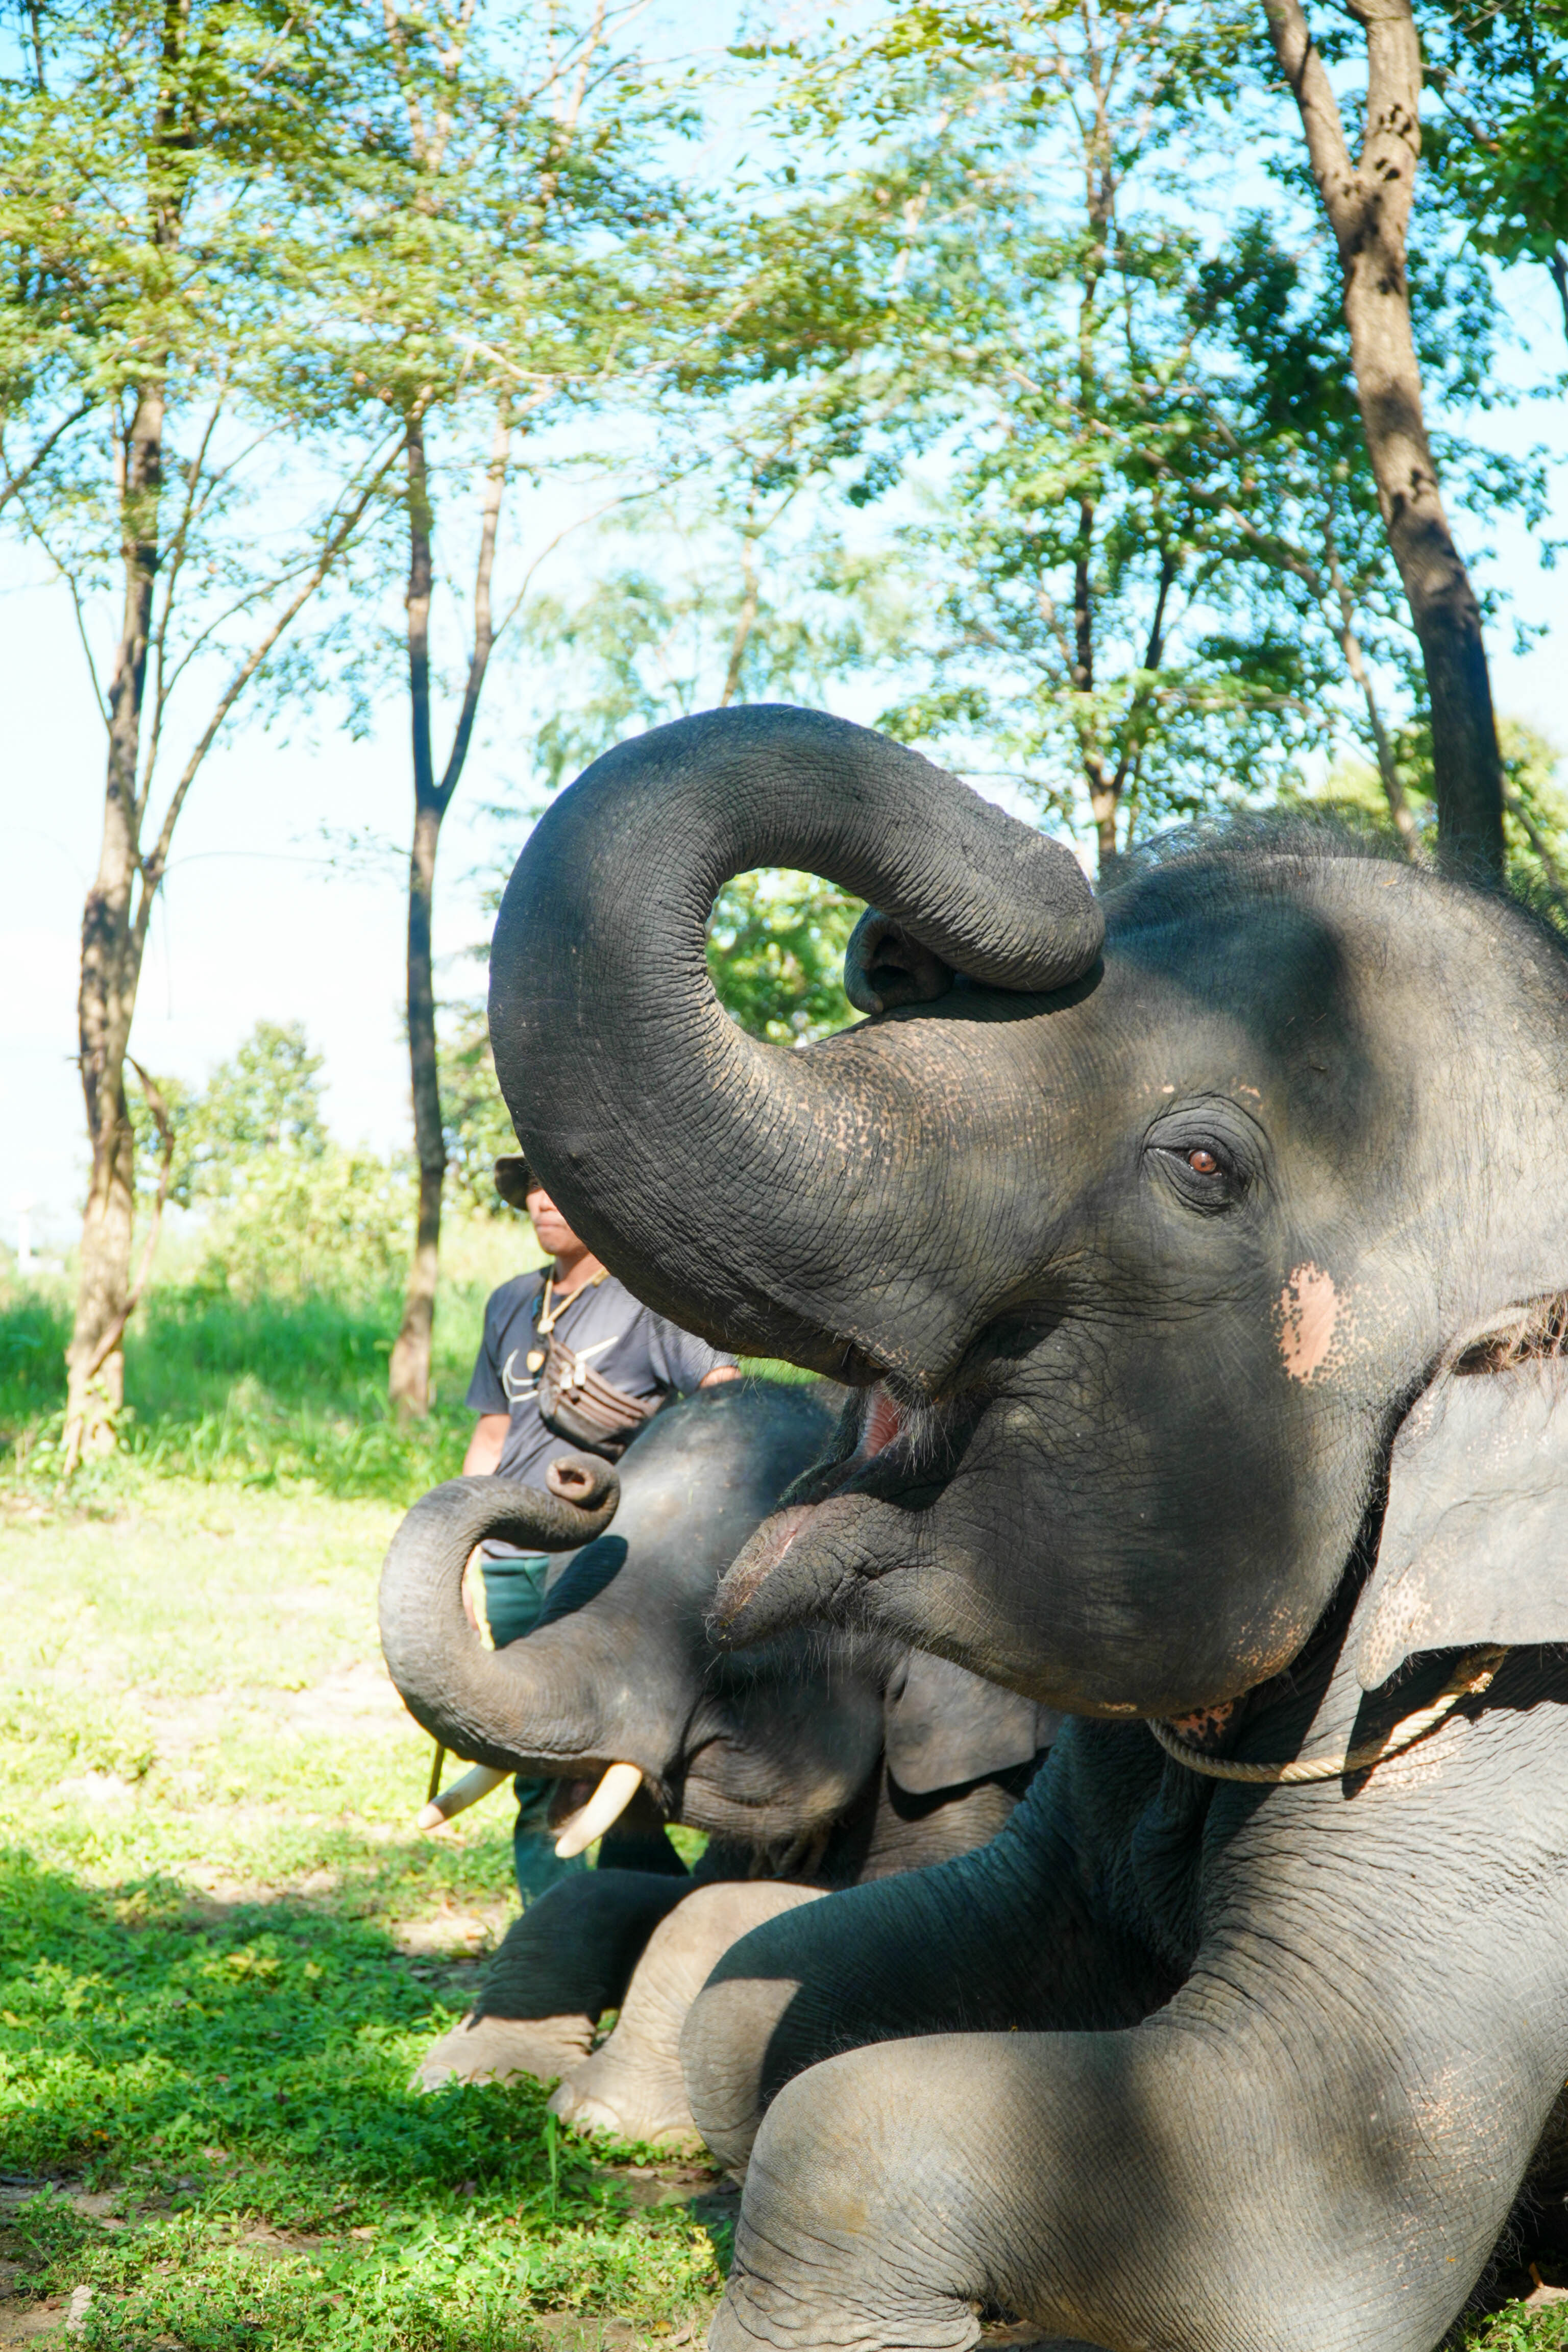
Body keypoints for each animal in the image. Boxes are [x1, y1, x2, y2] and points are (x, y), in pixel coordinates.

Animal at [379, 1378, 1055, 2138]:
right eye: (551, 1577)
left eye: (730, 1646)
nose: (576, 1476)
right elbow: (602, 1891)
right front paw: (462, 2075)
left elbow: (748, 1912)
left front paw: (601, 2117)